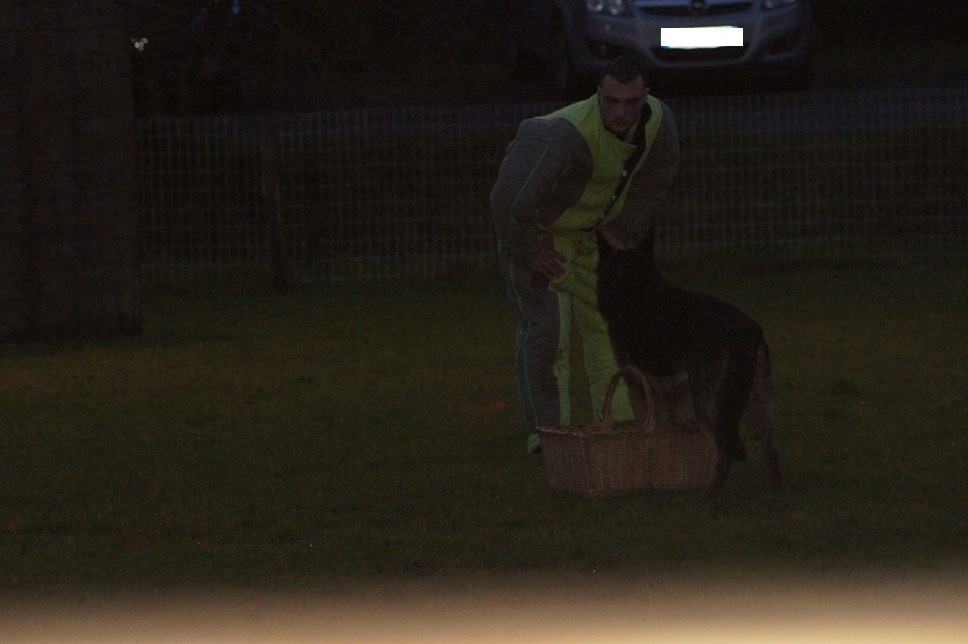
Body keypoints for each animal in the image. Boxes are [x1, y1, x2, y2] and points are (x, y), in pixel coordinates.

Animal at [592, 229, 784, 496]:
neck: (639, 289)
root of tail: (745, 328)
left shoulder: (636, 385)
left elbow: (644, 421)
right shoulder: (676, 384)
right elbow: (676, 415)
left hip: (711, 403)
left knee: (724, 448)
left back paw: (711, 493)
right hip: (757, 400)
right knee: (771, 447)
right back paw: (778, 491)